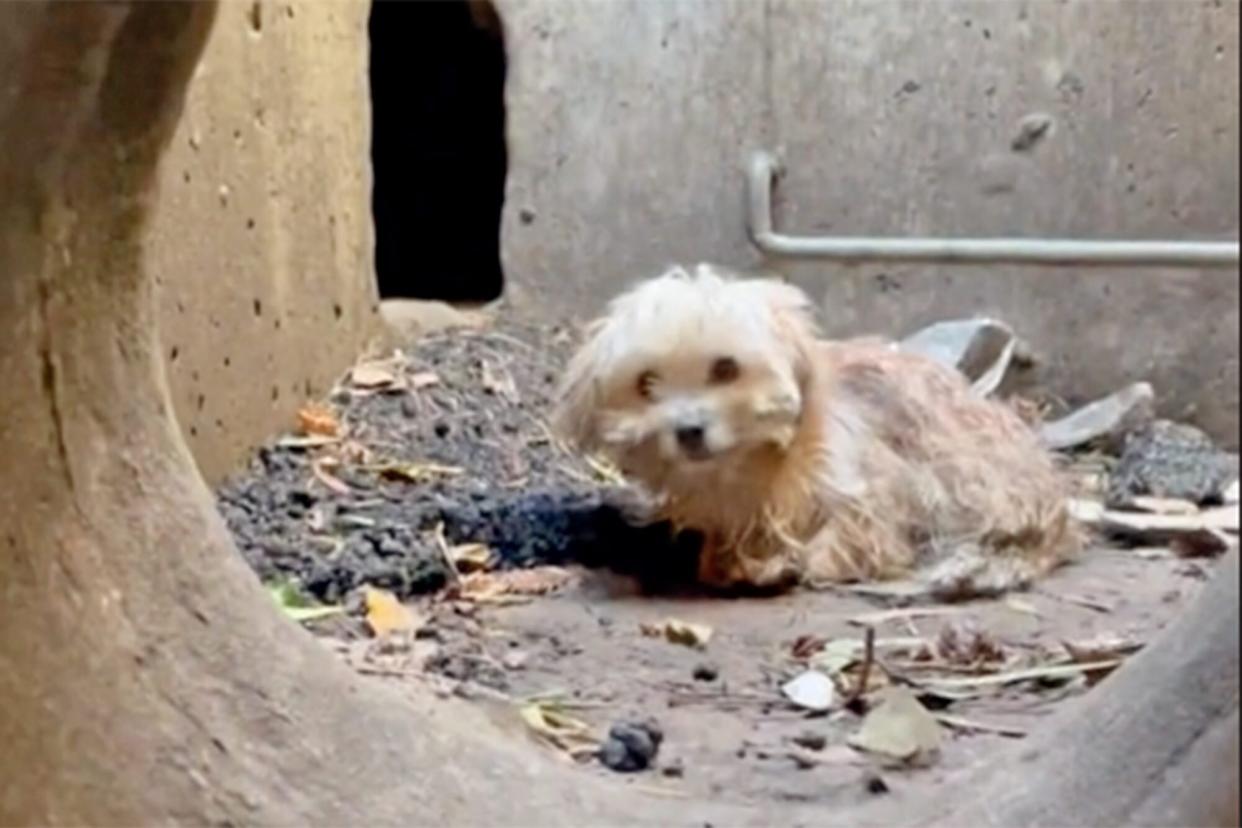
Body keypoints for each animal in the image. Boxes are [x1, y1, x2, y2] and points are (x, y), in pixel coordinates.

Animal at [553, 265, 1078, 595]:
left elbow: (853, 534)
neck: (756, 467)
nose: (688, 430)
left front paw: (792, 564)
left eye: (725, 368)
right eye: (646, 384)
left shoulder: (871, 489)